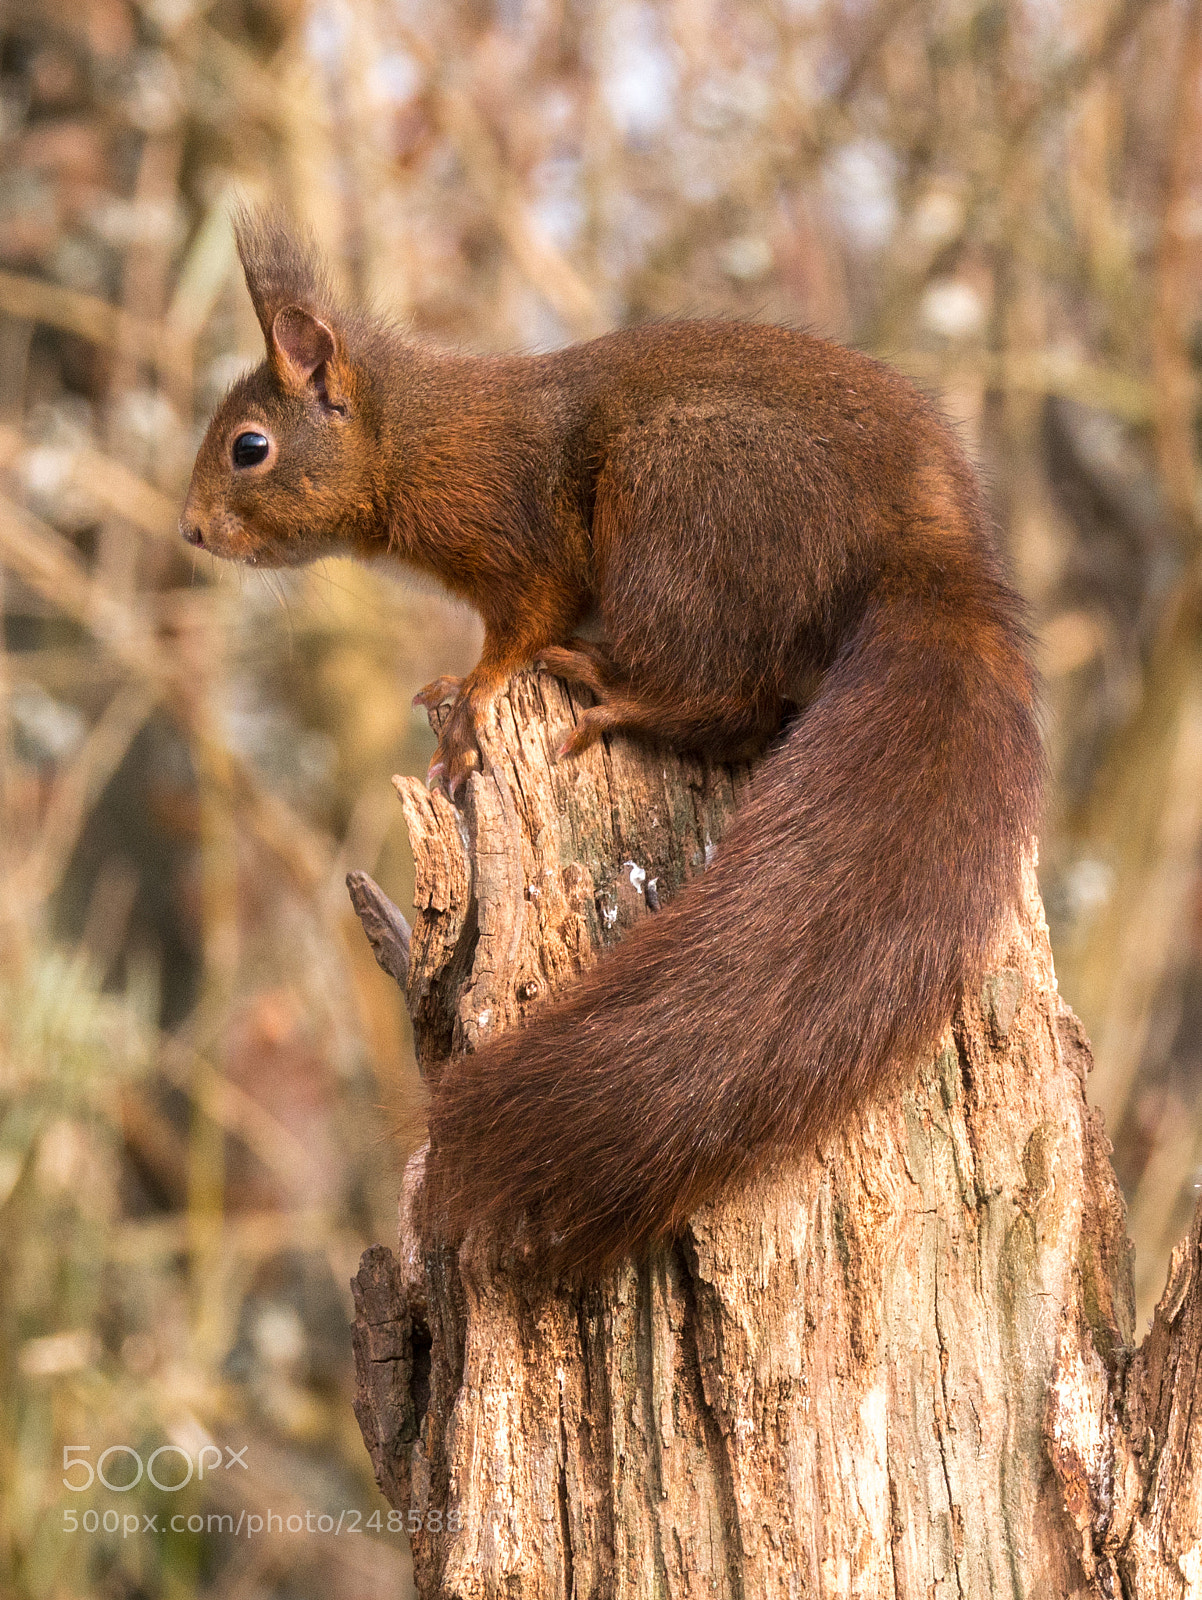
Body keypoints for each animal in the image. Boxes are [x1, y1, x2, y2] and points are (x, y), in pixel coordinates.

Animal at [182, 211, 1043, 1276]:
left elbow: (518, 628)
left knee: (726, 696)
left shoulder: (518, 538)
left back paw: (618, 697)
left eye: (249, 448)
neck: (412, 437)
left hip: (681, 506)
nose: (190, 531)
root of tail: (933, 554)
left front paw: (468, 701)